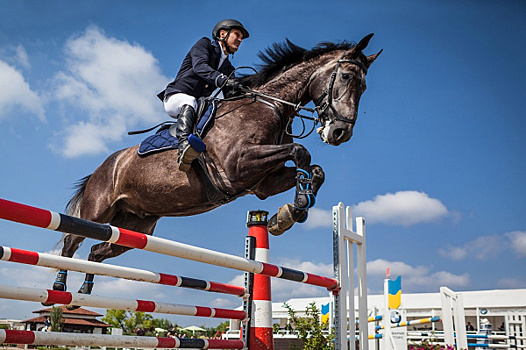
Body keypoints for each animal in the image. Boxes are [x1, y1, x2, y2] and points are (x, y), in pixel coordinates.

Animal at [49, 34, 382, 300]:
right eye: (346, 77)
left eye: (364, 85)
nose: (340, 133)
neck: (270, 106)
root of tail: (104, 166)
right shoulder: (238, 166)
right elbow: (301, 151)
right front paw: (294, 208)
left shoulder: (262, 183)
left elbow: (315, 169)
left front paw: (290, 212)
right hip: (98, 210)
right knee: (71, 241)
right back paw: (60, 285)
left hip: (135, 225)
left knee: (98, 249)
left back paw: (85, 289)